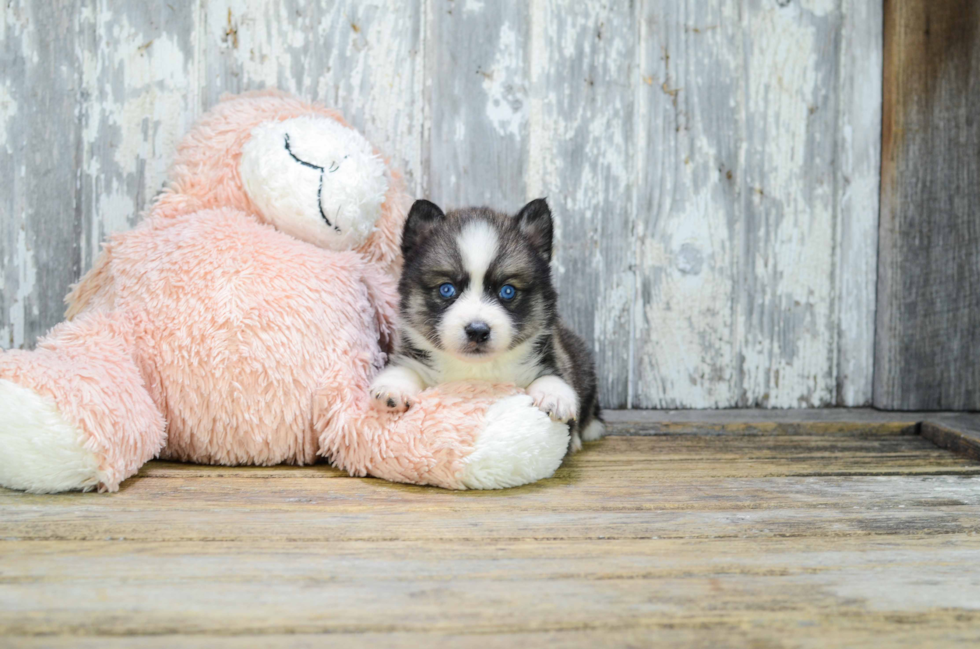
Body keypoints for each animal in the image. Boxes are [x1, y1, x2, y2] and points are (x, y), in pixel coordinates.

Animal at [370, 196, 604, 450]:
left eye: (507, 291)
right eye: (446, 289)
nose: (477, 331)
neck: (477, 369)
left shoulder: (552, 355)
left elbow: (553, 375)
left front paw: (554, 395)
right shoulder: (415, 356)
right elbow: (405, 368)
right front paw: (393, 386)